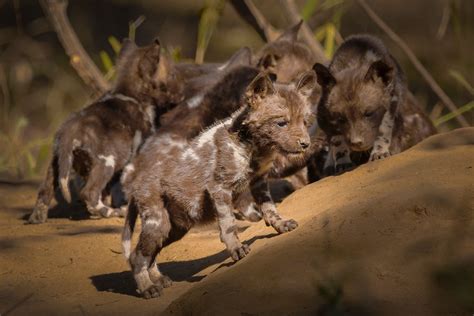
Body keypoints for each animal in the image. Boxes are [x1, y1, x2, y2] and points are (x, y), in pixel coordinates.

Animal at [26, 38, 184, 223]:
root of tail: (69, 133)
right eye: (173, 75)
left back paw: (37, 218)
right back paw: (109, 212)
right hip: (106, 163)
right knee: (89, 193)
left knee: (45, 190)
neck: (133, 95)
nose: (183, 91)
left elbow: (107, 191)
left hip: (57, 163)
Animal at [120, 71, 316, 298]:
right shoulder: (220, 189)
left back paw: (159, 280)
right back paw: (147, 288)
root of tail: (135, 187)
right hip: (157, 223)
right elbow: (229, 224)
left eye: (305, 122)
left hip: (174, 228)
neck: (254, 146)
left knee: (148, 254)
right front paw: (236, 249)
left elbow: (270, 209)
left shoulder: (259, 182)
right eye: (281, 123)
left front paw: (281, 225)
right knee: (136, 256)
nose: (306, 144)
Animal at [312, 34, 436, 174]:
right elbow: (337, 141)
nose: (356, 143)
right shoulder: (325, 117)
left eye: (369, 114)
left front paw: (380, 152)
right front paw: (342, 161)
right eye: (340, 118)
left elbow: (383, 130)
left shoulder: (390, 104)